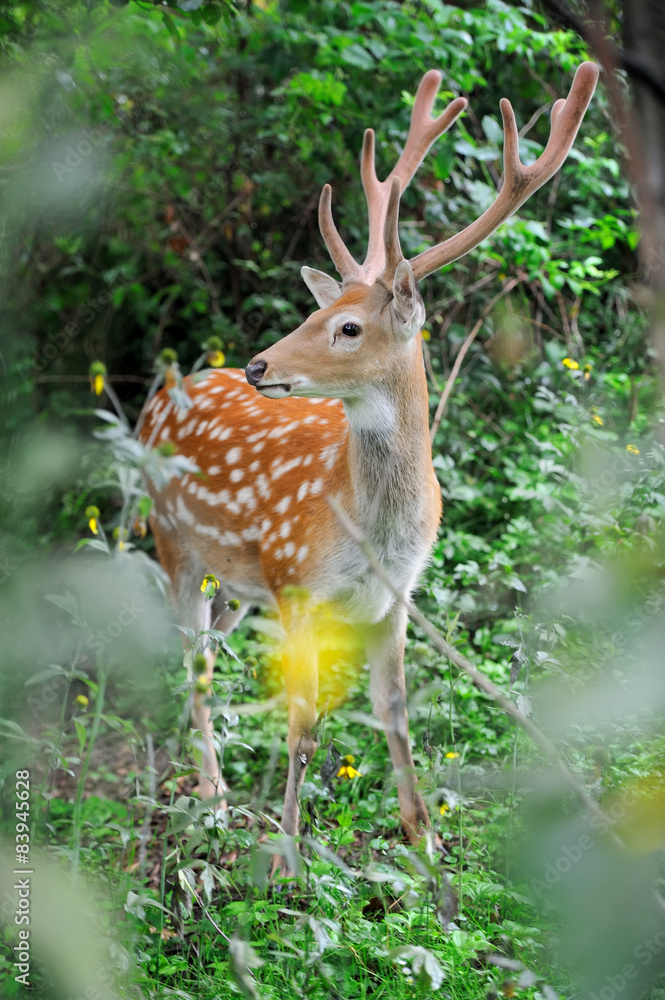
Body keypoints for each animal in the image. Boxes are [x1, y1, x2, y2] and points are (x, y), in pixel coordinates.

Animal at [143, 62, 600, 864]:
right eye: (311, 313)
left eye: (348, 327)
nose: (258, 365)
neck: (372, 528)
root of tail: (154, 404)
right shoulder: (298, 585)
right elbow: (302, 724)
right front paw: (287, 855)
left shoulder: (396, 597)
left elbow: (395, 713)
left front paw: (425, 843)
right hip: (173, 543)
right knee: (191, 661)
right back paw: (215, 797)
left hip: (235, 580)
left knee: (207, 653)